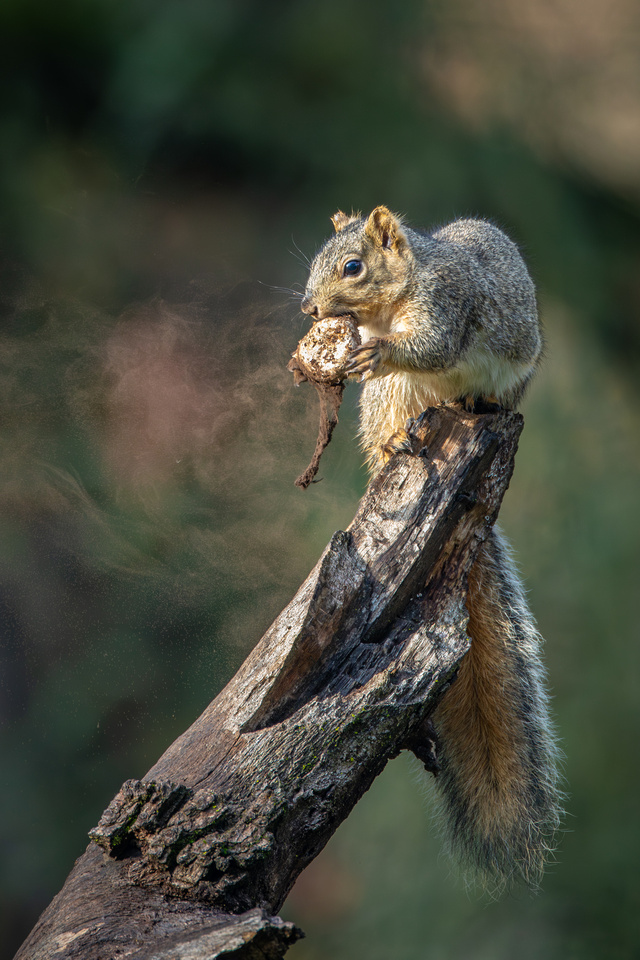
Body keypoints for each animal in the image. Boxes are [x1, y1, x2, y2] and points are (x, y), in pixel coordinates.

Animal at [298, 206, 560, 888]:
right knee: (393, 421)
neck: (396, 297)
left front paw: (382, 349)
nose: (310, 309)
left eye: (353, 266)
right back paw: (394, 444)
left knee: (467, 390)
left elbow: (431, 346)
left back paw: (467, 400)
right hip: (392, 398)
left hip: (502, 389)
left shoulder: (447, 304)